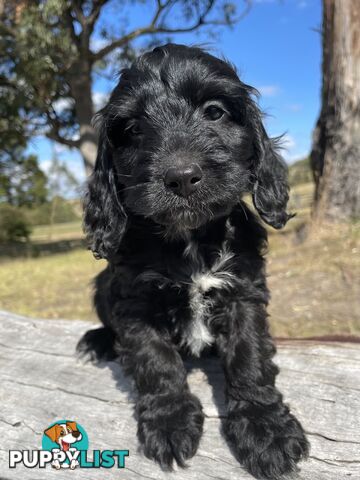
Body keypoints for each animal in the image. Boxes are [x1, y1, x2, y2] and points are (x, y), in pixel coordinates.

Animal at [79, 44, 310, 476]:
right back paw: (97, 341)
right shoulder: (135, 301)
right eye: (132, 129)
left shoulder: (243, 291)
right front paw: (169, 420)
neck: (189, 239)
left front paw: (265, 428)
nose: (182, 176)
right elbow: (156, 361)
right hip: (103, 287)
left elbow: (250, 356)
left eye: (215, 112)